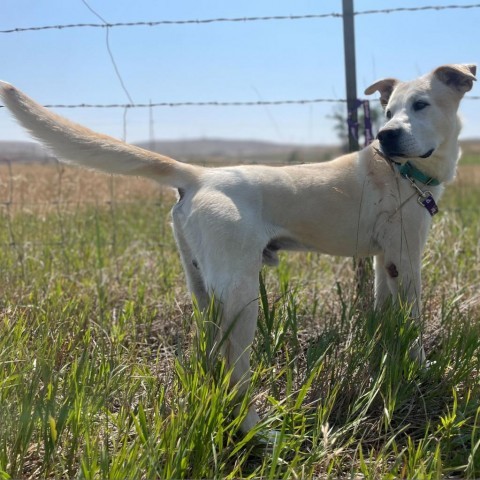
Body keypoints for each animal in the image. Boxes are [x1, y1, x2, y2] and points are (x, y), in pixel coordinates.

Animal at [0, 63, 474, 436]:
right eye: (390, 111)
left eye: (420, 105)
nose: (387, 135)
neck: (404, 172)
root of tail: (197, 176)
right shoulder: (404, 261)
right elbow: (413, 324)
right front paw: (420, 370)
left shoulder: (382, 261)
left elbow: (384, 316)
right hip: (245, 296)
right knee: (235, 372)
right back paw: (258, 430)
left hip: (206, 293)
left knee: (213, 358)